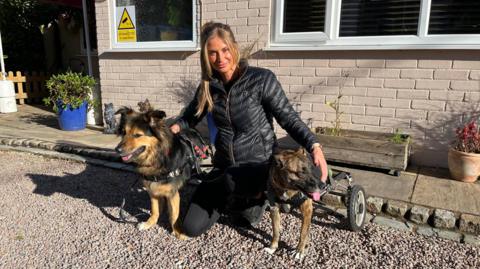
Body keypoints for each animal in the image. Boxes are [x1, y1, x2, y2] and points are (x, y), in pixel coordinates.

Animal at [115, 105, 209, 238]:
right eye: (124, 132)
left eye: (137, 135)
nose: (117, 150)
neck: (157, 159)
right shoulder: (152, 190)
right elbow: (155, 210)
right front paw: (150, 223)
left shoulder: (172, 192)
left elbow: (174, 214)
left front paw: (178, 232)